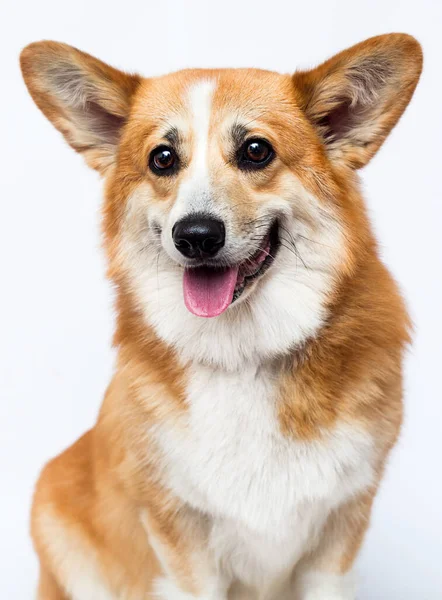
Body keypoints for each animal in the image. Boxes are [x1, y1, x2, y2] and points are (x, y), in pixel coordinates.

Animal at [20, 34, 422, 600]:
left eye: (256, 150)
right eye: (163, 158)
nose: (195, 236)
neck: (243, 354)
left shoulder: (340, 529)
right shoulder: (181, 539)